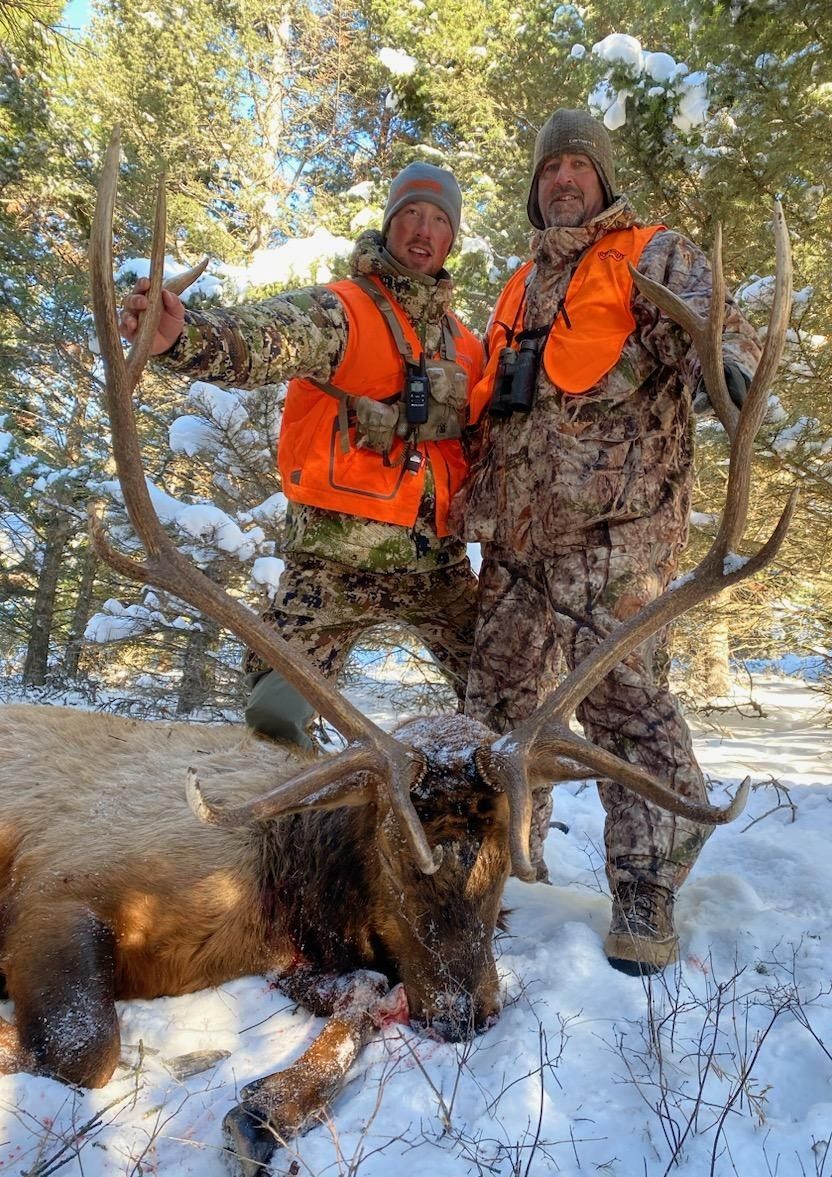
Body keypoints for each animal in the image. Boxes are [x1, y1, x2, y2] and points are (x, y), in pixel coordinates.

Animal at [0, 129, 795, 1177]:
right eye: (395, 846)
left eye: (501, 864)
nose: (466, 1012)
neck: (277, 884)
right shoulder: (64, 881)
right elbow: (80, 1048)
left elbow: (367, 995)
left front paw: (265, 1107)